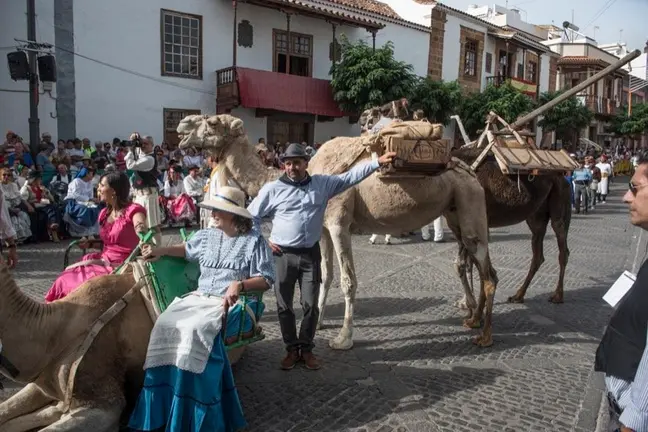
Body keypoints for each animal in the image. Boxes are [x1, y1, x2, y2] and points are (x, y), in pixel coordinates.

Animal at [175, 113, 498, 350]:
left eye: (212, 122)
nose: (181, 127)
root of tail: (471, 172)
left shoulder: (339, 223)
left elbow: (347, 280)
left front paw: (344, 338)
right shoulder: (322, 229)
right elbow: (326, 275)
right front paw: (317, 322)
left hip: (469, 204)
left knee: (488, 273)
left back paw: (484, 335)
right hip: (455, 211)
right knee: (472, 263)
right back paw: (473, 318)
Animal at [360, 99, 572, 306]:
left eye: (380, 111)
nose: (362, 117)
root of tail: (563, 175)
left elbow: (472, 262)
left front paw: (474, 303)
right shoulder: (457, 221)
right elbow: (465, 264)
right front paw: (466, 302)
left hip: (559, 204)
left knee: (563, 248)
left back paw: (557, 295)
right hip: (536, 216)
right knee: (538, 253)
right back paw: (518, 295)